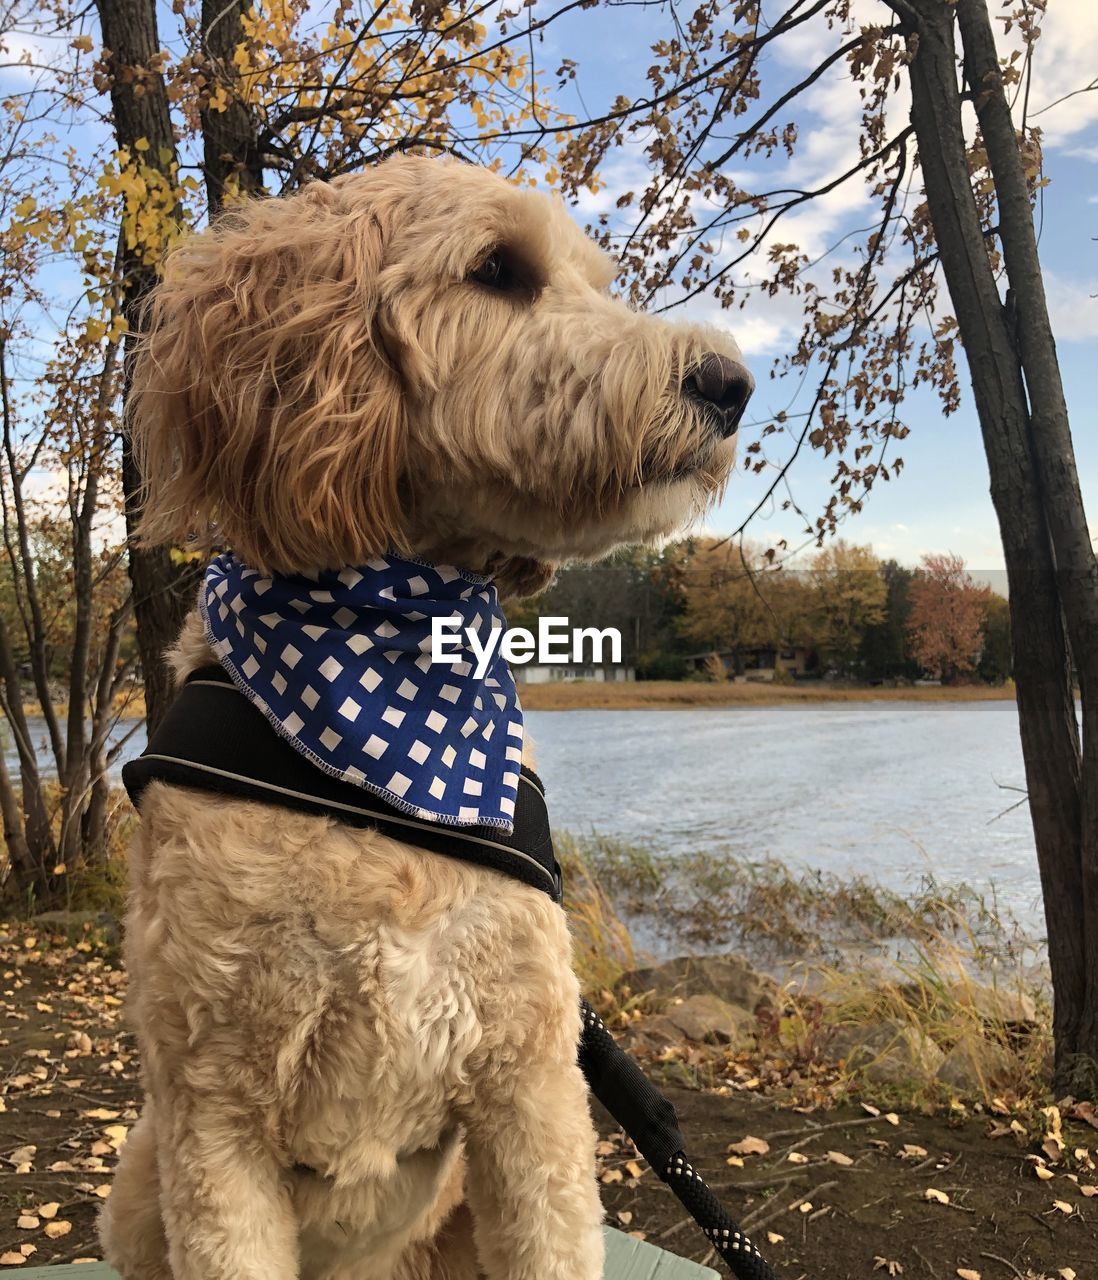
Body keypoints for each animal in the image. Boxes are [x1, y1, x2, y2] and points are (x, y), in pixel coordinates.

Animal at [102, 152, 747, 1280]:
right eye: (497, 269)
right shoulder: (212, 1118)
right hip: (138, 1184)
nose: (731, 383)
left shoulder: (531, 1089)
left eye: (595, 282)